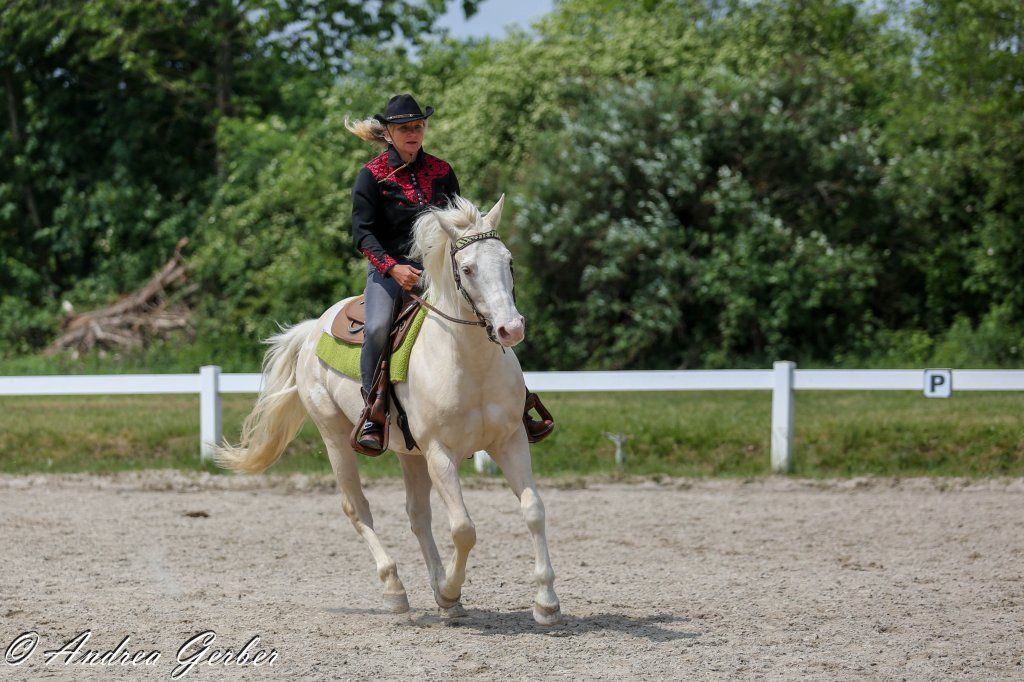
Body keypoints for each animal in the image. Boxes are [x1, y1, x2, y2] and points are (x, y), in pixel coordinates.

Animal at [214, 194, 562, 626]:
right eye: (467, 268)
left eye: (508, 261)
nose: (510, 329)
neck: (468, 363)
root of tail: (313, 329)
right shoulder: (440, 454)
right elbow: (463, 528)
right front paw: (450, 591)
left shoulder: (510, 440)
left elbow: (534, 510)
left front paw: (545, 602)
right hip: (336, 438)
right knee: (357, 508)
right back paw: (396, 590)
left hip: (411, 454)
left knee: (417, 515)